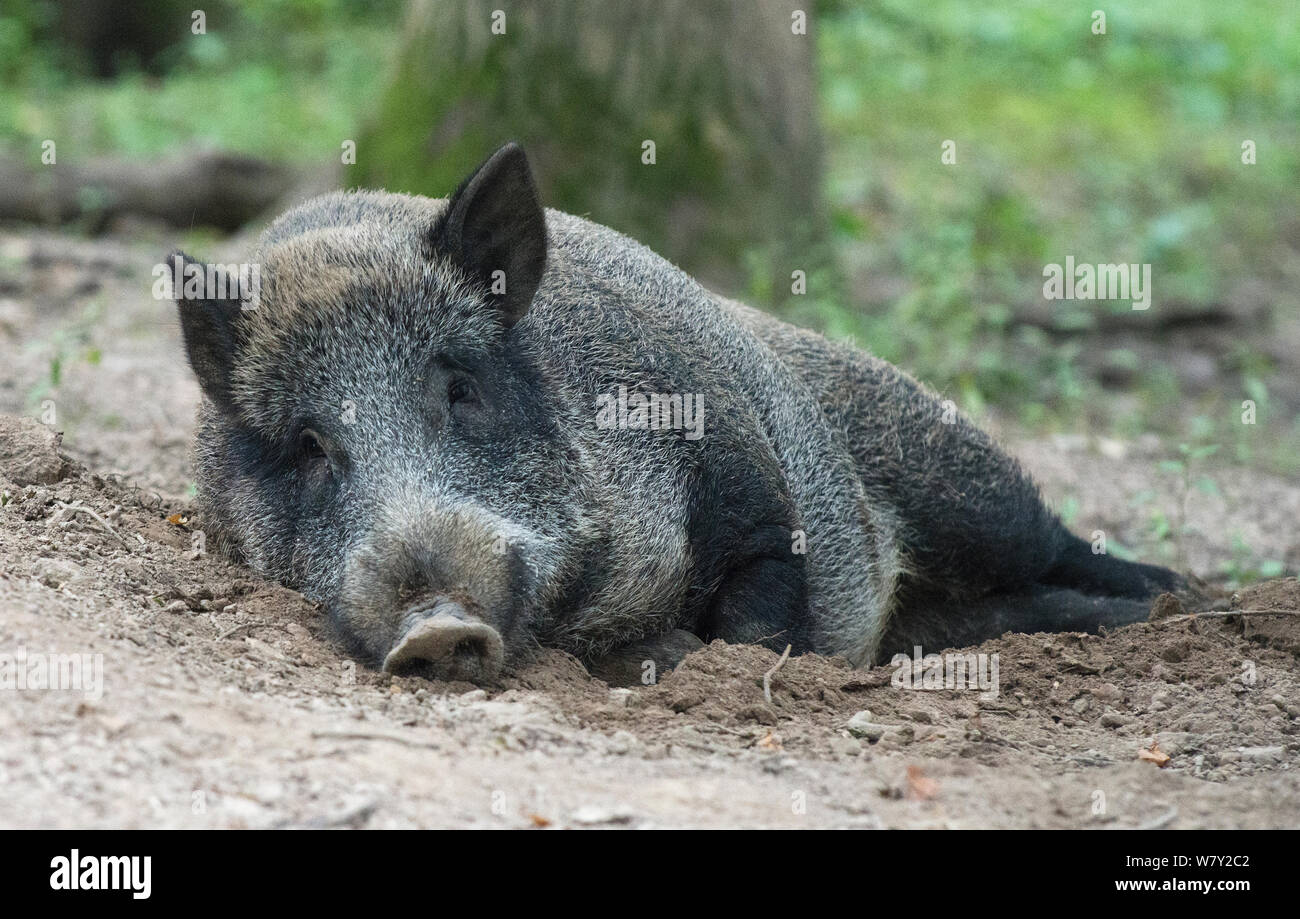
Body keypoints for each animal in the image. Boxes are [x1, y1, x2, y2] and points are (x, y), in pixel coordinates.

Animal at [170, 143, 1182, 683]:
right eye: (307, 444)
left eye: (461, 390)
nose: (438, 624)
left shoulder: (755, 488)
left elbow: (754, 616)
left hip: (956, 469)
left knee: (1056, 543)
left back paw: (1178, 595)